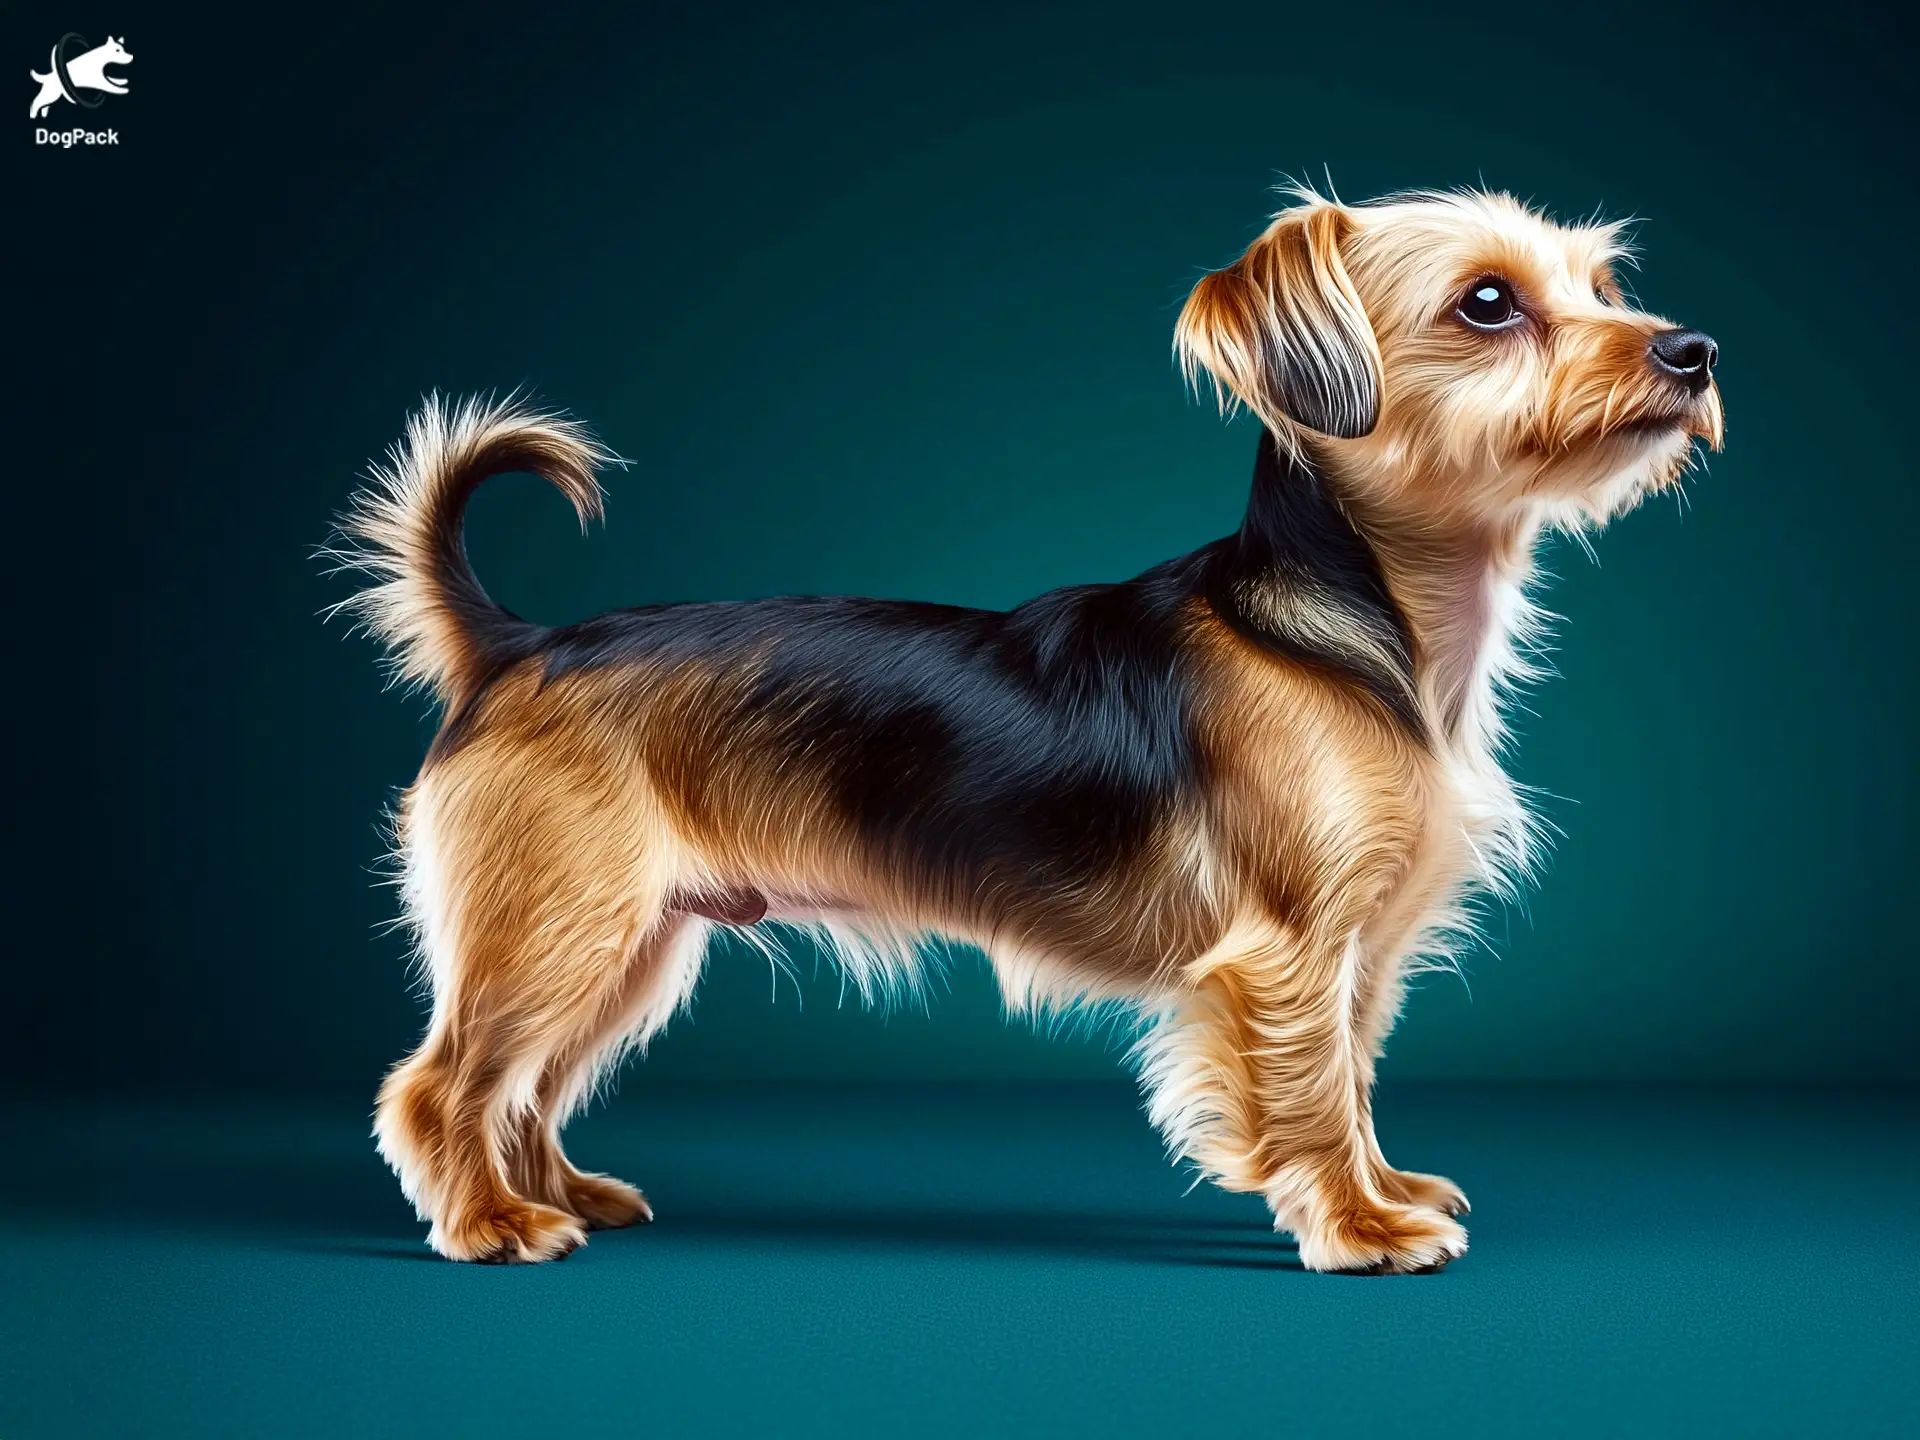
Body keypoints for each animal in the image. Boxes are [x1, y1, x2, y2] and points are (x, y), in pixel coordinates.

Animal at [334, 183, 1728, 1274]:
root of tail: (517, 646)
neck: (1361, 634)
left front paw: (1382, 1192)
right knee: (443, 1083)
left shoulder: (1364, 953)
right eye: (1487, 304)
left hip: (632, 941)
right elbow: (1313, 1092)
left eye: (1605, 284)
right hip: (562, 924)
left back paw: (558, 1193)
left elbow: (1355, 1076)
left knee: (524, 1089)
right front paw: (1359, 1228)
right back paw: (488, 1224)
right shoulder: (1288, 953)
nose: (1695, 349)